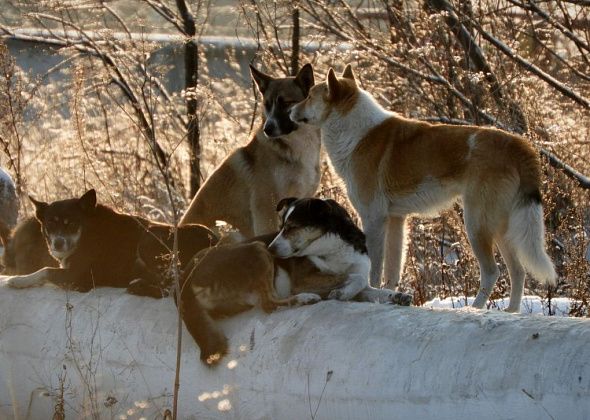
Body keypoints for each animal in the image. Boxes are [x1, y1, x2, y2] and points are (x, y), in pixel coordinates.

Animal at [2, 189, 217, 294]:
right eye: (50, 224)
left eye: (71, 223)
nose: (58, 244)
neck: (87, 232)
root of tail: (214, 241)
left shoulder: (77, 277)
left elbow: (45, 270)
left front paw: (20, 280)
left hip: (149, 238)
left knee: (172, 286)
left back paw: (139, 286)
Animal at [178, 197, 414, 364]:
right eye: (281, 227)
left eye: (291, 227)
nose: (272, 249)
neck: (333, 247)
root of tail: (185, 279)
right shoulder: (305, 280)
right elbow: (355, 278)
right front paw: (342, 292)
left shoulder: (358, 278)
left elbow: (368, 287)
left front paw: (398, 296)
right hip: (255, 249)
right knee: (269, 304)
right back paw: (304, 299)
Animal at [292, 63, 560, 312]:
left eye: (309, 96)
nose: (289, 110)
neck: (356, 132)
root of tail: (517, 144)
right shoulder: (396, 220)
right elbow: (392, 271)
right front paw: (390, 297)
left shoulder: (373, 218)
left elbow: (375, 269)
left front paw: (373, 295)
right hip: (501, 228)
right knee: (518, 271)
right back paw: (512, 311)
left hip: (477, 225)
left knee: (493, 272)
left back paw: (474, 308)